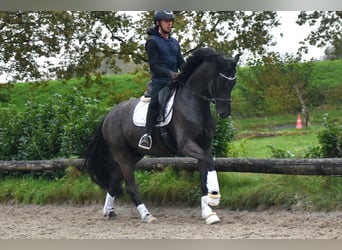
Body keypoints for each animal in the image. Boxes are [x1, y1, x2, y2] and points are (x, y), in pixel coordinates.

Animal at [85, 47, 240, 225]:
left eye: (233, 83)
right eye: (220, 82)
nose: (224, 113)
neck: (195, 103)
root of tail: (109, 115)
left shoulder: (204, 146)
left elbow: (204, 175)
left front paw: (208, 213)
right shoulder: (186, 145)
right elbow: (209, 162)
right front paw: (214, 197)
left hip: (134, 153)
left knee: (114, 179)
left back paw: (108, 211)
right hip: (121, 152)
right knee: (130, 186)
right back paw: (147, 215)